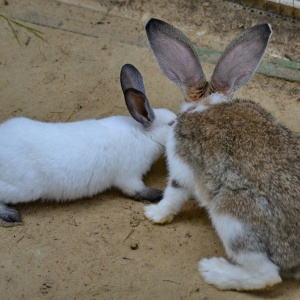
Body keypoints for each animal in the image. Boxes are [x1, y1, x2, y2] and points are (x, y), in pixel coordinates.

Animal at [0, 64, 176, 226]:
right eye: (171, 123)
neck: (144, 135)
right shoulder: (129, 176)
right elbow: (136, 191)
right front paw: (157, 194)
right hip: (22, 188)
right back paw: (10, 215)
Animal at [143, 18, 300, 290]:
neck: (208, 104)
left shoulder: (181, 169)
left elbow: (173, 195)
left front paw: (154, 214)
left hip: (232, 218)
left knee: (267, 275)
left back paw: (213, 271)